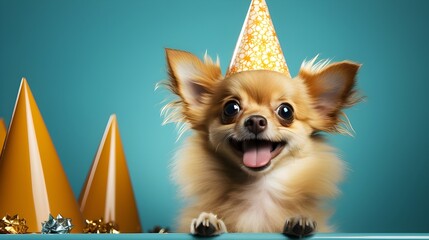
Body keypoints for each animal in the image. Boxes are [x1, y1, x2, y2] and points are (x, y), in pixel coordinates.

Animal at [162, 47, 360, 237]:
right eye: (231, 108)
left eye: (286, 111)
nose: (256, 120)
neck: (257, 189)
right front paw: (210, 222)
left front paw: (300, 221)